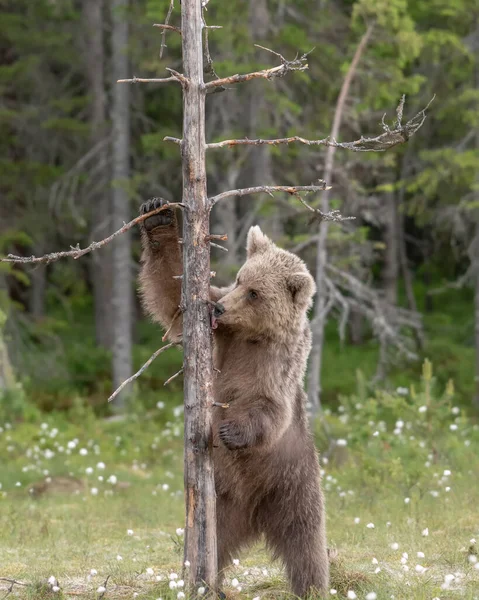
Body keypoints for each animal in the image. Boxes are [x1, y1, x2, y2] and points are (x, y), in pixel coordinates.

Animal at [139, 198, 330, 596]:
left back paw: (313, 587)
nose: (222, 308)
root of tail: (255, 517)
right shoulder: (220, 329)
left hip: (295, 482)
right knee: (216, 539)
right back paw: (202, 581)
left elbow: (269, 407)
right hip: (221, 502)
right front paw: (158, 216)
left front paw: (231, 431)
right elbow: (173, 298)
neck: (254, 335)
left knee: (306, 540)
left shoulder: (278, 365)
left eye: (256, 292)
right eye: (241, 279)